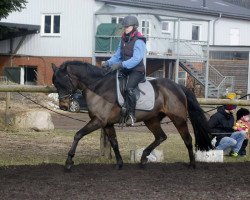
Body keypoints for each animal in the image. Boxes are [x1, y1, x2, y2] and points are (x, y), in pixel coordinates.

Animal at [51, 60, 212, 171]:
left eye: (64, 82)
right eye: (55, 83)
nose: (63, 106)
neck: (98, 87)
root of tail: (178, 87)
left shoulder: (98, 121)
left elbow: (78, 135)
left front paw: (69, 162)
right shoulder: (107, 124)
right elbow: (114, 143)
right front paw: (119, 164)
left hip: (178, 119)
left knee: (187, 139)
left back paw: (192, 164)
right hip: (151, 120)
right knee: (161, 137)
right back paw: (143, 158)